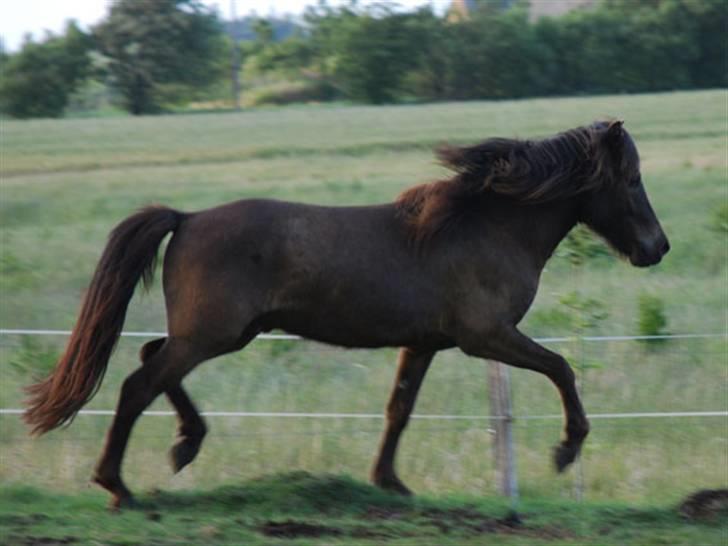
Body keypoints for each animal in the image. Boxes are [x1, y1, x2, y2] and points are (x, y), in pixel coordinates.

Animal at [24, 121, 672, 508]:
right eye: (632, 179)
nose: (657, 248)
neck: (484, 225)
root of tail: (187, 218)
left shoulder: (426, 343)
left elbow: (399, 409)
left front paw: (390, 482)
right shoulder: (487, 336)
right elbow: (561, 368)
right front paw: (566, 450)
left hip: (219, 334)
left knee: (151, 361)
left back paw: (185, 444)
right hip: (214, 335)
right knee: (139, 383)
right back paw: (119, 484)